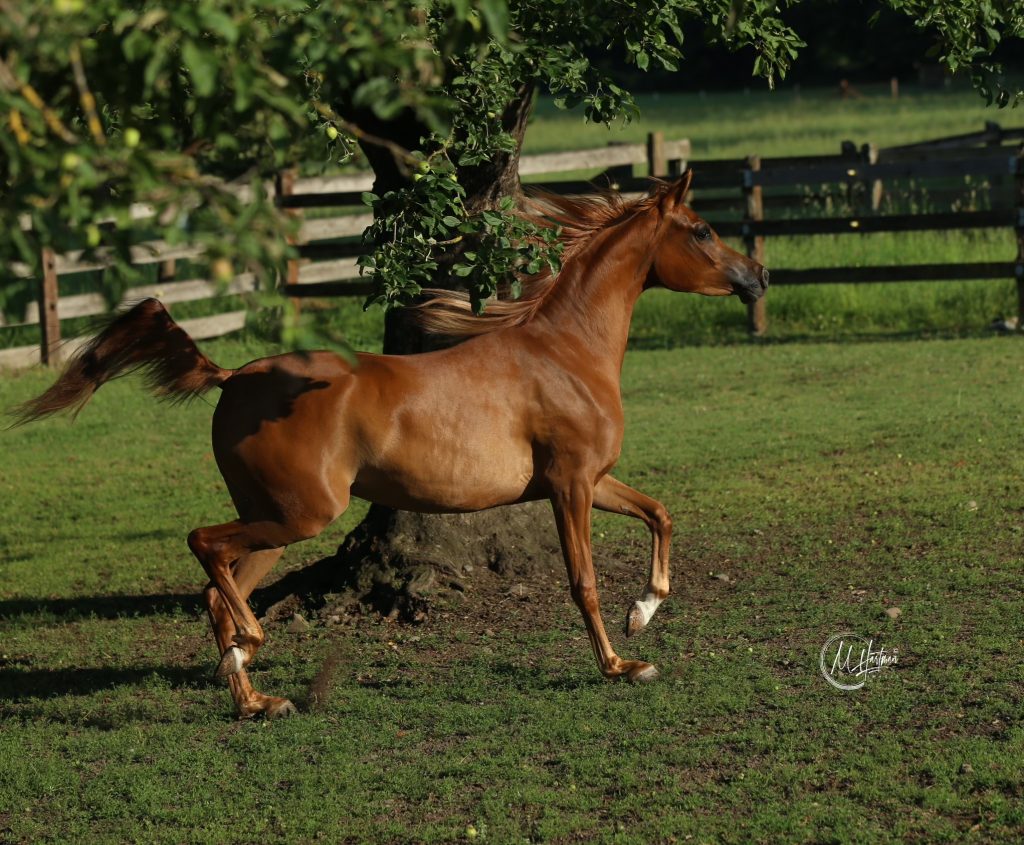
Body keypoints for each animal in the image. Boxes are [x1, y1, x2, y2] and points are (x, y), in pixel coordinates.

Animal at [14, 171, 767, 719]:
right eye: (702, 229)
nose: (758, 277)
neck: (565, 353)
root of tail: (235, 377)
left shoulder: (593, 480)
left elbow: (661, 513)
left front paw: (643, 614)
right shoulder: (571, 485)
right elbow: (582, 580)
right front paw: (620, 664)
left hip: (276, 522)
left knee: (216, 586)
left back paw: (256, 697)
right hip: (300, 515)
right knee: (204, 545)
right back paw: (252, 651)